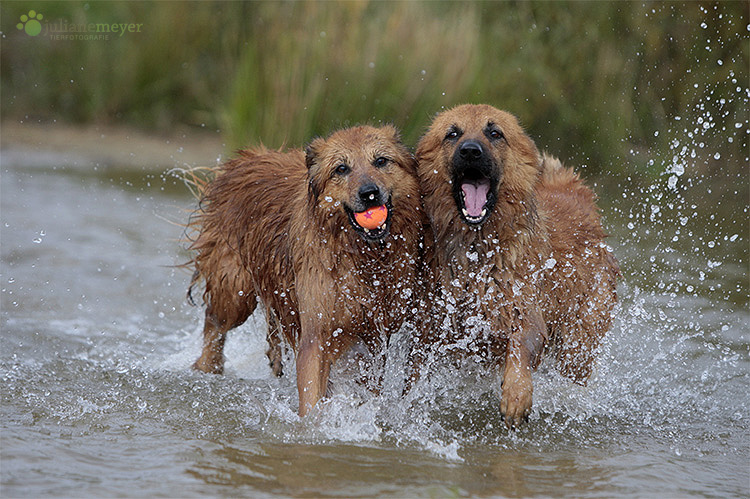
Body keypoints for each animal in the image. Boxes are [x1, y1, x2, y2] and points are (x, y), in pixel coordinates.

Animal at [187, 126, 424, 418]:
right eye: (341, 168)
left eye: (381, 161)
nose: (369, 193)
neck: (361, 255)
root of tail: (246, 157)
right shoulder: (317, 331)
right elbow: (311, 394)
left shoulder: (374, 335)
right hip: (234, 289)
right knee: (214, 323)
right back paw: (207, 368)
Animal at [414, 103, 620, 428]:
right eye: (452, 134)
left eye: (495, 133)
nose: (470, 151)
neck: (478, 251)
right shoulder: (433, 327)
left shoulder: (524, 308)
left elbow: (521, 347)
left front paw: (516, 394)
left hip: (578, 341)